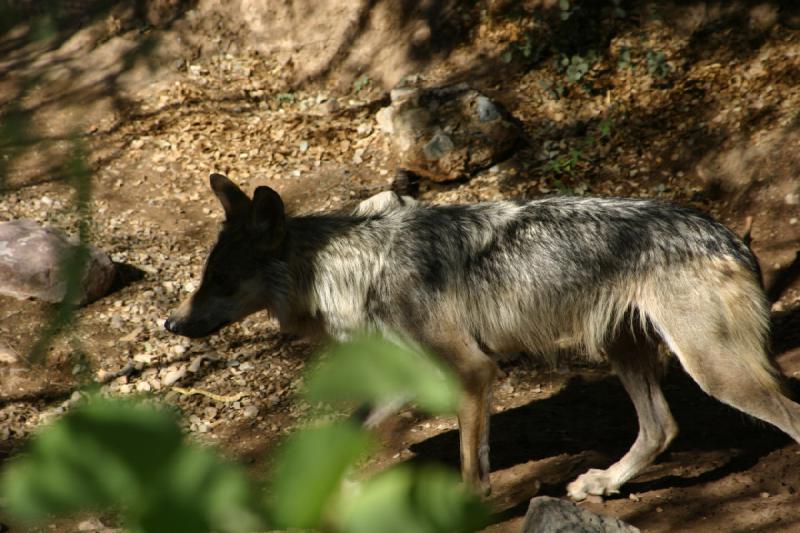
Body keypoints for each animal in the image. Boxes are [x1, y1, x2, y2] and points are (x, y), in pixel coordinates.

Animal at [164, 174, 800, 498]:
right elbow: (349, 430)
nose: (171, 323)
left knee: (780, 415)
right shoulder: (406, 380)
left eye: (220, 281)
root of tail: (730, 236)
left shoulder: (473, 371)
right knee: (661, 427)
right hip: (625, 352)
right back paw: (601, 484)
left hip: (714, 371)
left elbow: (473, 472)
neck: (361, 267)